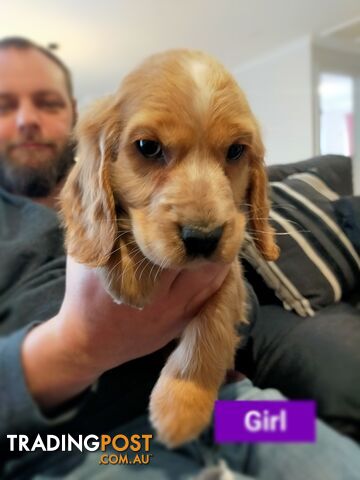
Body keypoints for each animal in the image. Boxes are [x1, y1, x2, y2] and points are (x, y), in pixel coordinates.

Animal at [61, 48, 278, 446]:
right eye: (148, 148)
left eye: (236, 151)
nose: (203, 237)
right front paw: (130, 274)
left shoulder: (229, 273)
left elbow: (213, 323)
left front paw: (182, 403)